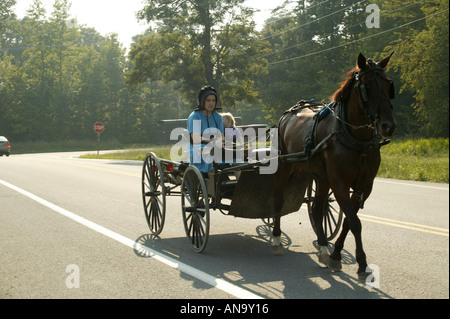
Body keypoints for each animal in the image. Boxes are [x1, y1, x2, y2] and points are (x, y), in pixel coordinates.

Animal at [272, 53, 396, 282]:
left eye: (388, 84)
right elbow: (355, 222)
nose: (388, 126)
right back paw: (276, 239)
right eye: (366, 86)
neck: (356, 139)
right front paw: (362, 264)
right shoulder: (339, 183)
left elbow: (348, 221)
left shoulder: (364, 186)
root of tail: (288, 113)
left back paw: (322, 247)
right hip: (284, 167)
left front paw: (336, 254)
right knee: (278, 200)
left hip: (321, 177)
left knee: (317, 208)